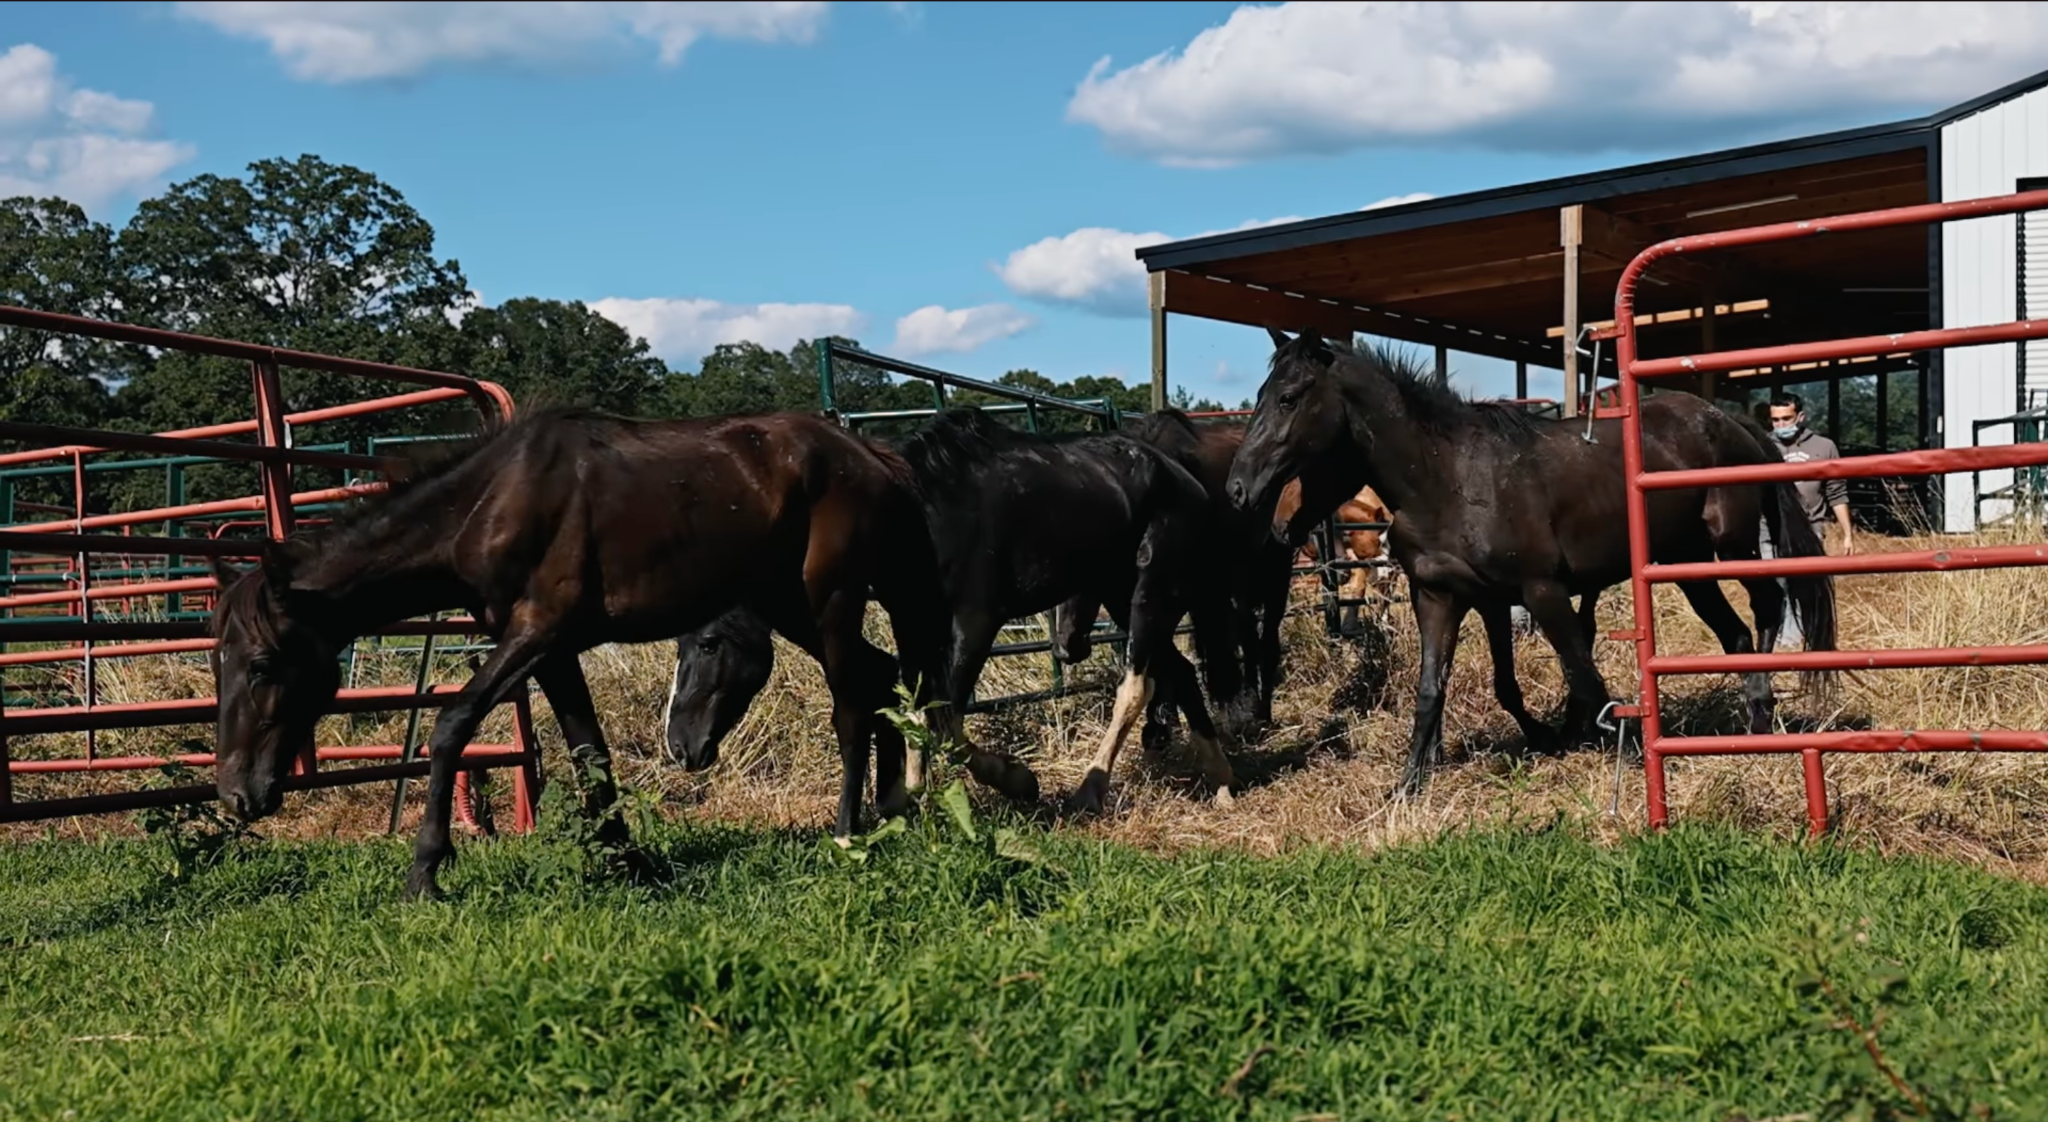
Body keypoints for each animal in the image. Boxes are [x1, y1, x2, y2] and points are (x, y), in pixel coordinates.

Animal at [206, 406, 1037, 901]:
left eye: (262, 666)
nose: (237, 795)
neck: (491, 500)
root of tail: (872, 455)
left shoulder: (535, 633)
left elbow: (451, 727)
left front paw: (426, 871)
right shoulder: (552, 650)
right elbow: (588, 751)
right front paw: (627, 860)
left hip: (828, 597)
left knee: (853, 703)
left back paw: (849, 828)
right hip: (788, 602)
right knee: (886, 677)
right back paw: (901, 806)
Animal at [1224, 329, 1837, 798]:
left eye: (1289, 397)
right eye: (1261, 394)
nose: (1239, 490)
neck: (1446, 478)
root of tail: (1730, 423)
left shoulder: (1542, 592)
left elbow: (1584, 675)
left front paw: (1622, 752)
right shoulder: (1447, 597)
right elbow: (1438, 689)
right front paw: (1409, 785)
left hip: (1730, 545)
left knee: (1767, 606)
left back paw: (1762, 714)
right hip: (1683, 560)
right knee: (1735, 632)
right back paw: (1751, 719)